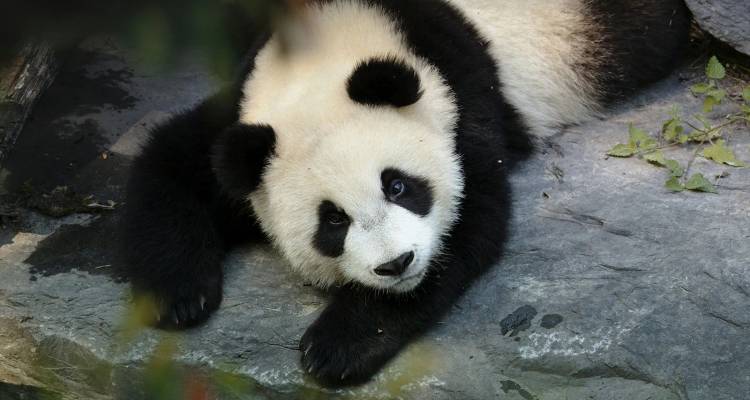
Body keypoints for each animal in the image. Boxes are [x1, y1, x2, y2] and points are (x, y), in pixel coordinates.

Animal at [121, 0, 690, 386]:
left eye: (398, 185)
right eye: (333, 220)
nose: (396, 265)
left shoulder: (461, 102)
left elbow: (472, 221)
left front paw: (336, 347)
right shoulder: (244, 115)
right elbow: (171, 163)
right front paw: (178, 296)